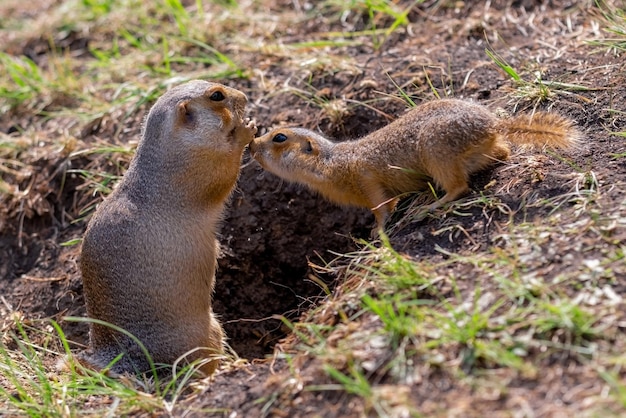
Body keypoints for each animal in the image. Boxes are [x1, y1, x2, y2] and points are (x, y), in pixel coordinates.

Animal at [78, 80, 256, 378]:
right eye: (216, 96)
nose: (244, 96)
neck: (166, 146)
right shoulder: (199, 166)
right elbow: (222, 174)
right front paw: (246, 129)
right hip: (209, 332)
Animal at [249, 99, 580, 229]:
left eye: (279, 137)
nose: (250, 145)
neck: (330, 163)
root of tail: (492, 125)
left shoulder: (365, 178)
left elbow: (381, 205)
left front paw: (379, 230)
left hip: (437, 151)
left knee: (459, 187)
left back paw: (428, 207)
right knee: (502, 154)